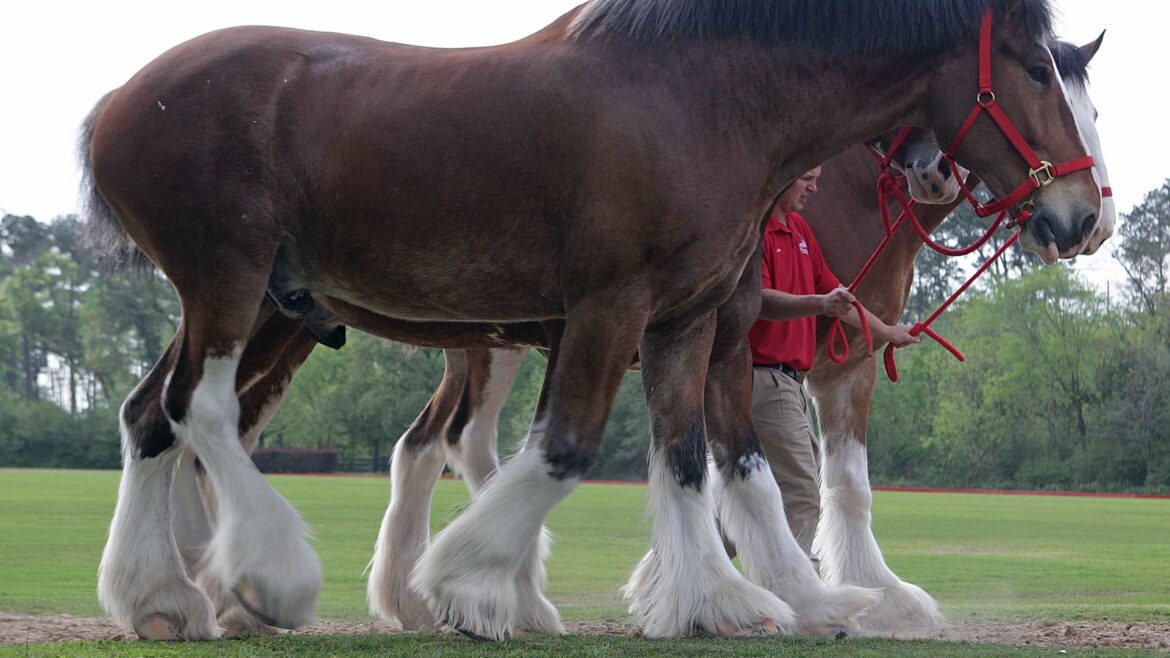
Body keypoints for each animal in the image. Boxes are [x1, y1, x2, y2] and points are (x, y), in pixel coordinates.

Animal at [81, 0, 1103, 642]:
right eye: (1037, 71)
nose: (1081, 217)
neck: (701, 100)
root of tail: (118, 103)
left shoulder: (686, 322)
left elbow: (702, 462)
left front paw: (730, 601)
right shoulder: (616, 308)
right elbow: (571, 448)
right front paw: (464, 583)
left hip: (253, 301)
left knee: (152, 417)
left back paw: (165, 598)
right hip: (233, 280)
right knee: (205, 413)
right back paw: (266, 575)